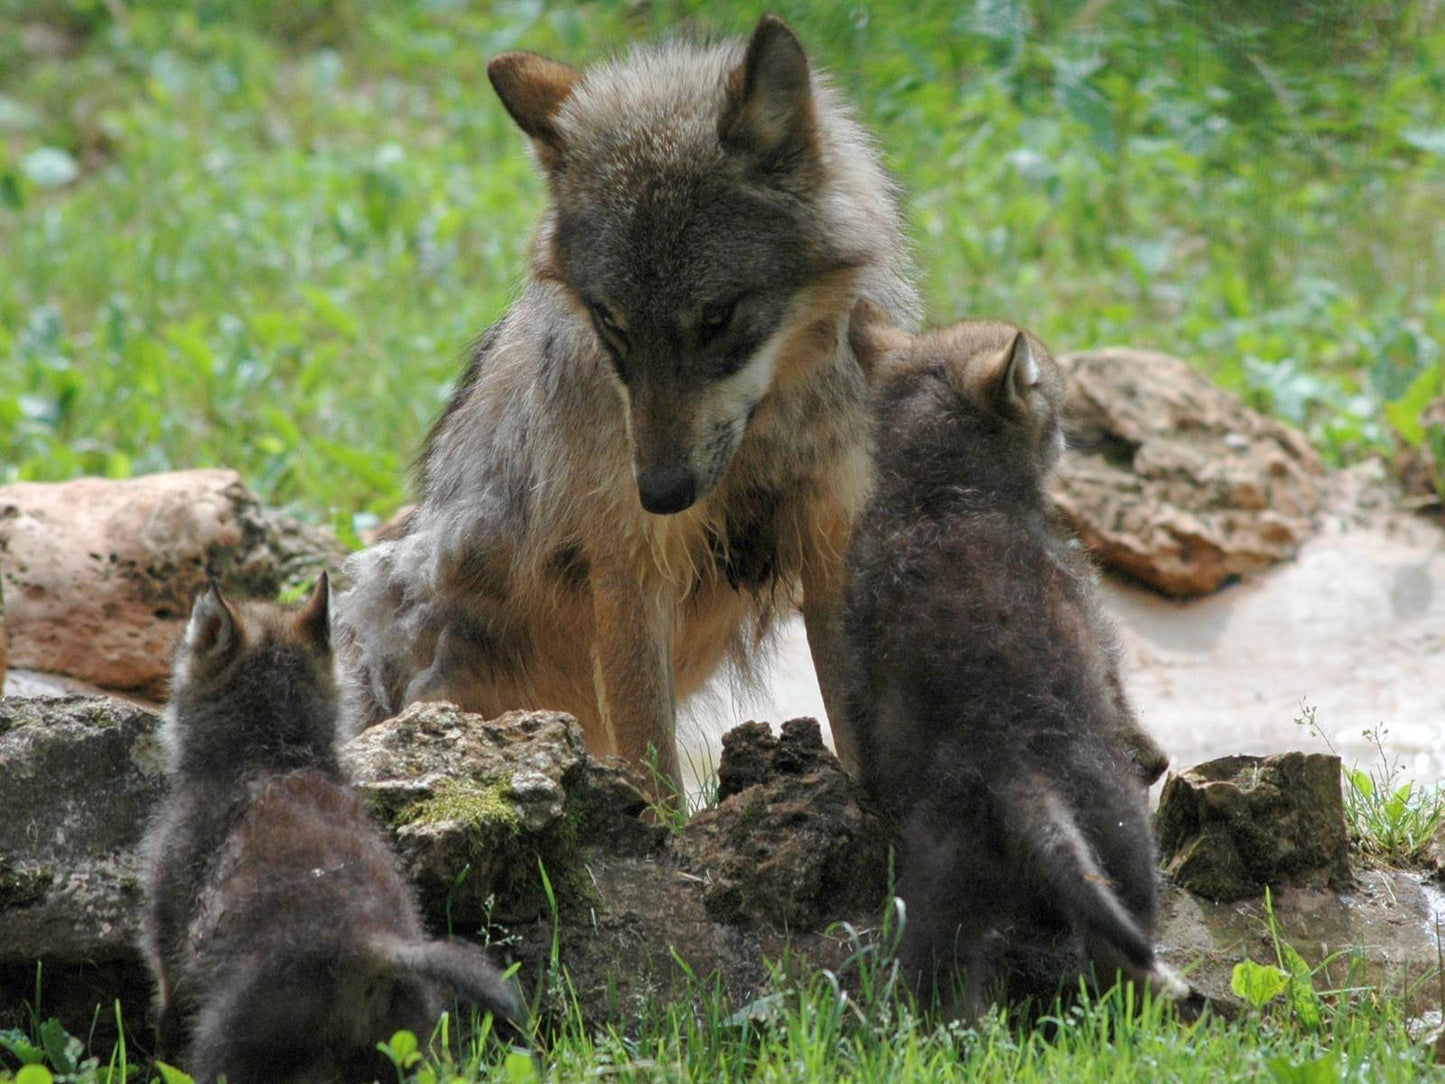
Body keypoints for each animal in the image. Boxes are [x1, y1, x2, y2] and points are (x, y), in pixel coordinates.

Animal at [335, 12, 913, 786]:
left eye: (717, 317)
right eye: (611, 321)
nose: (661, 493)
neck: (763, 442)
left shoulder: (827, 538)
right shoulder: (631, 569)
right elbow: (652, 760)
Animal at [843, 306, 1179, 1017]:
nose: (1069, 440)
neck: (939, 493)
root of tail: (1014, 770)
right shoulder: (1092, 614)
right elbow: (1125, 699)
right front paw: (1154, 752)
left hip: (941, 892)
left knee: (936, 993)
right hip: (1125, 838)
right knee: (1125, 952)